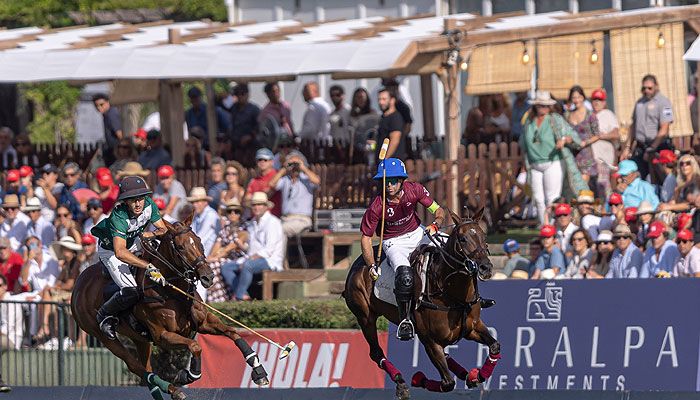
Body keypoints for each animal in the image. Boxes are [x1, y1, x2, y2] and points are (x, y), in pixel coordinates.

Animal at [71, 216, 268, 400]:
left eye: (199, 241)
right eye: (180, 247)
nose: (208, 277)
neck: (172, 290)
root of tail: (78, 283)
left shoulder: (203, 322)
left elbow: (232, 332)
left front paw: (259, 371)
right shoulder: (163, 336)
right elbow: (196, 346)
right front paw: (187, 375)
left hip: (140, 339)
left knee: (146, 369)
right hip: (103, 337)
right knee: (136, 367)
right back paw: (173, 389)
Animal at [344, 208, 498, 398]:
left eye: (484, 236)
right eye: (463, 239)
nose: (485, 268)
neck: (451, 293)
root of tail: (358, 263)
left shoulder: (473, 328)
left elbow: (495, 346)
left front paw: (476, 376)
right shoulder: (431, 341)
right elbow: (448, 383)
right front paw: (418, 379)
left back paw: (466, 374)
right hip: (365, 317)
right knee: (375, 352)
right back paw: (401, 383)